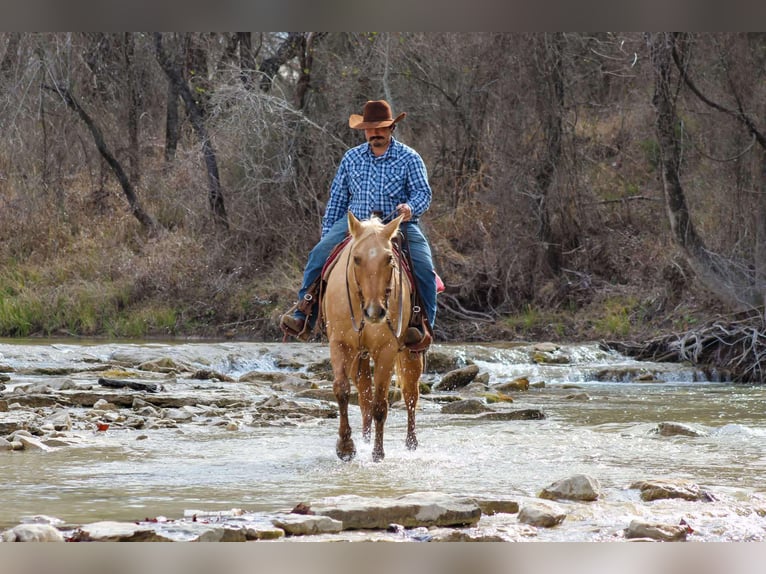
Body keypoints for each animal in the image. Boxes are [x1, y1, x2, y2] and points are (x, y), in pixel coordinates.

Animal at [322, 211, 424, 462]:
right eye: (356, 259)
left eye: (389, 259)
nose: (375, 312)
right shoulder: (339, 344)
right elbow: (342, 391)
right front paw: (346, 447)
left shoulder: (386, 349)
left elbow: (380, 404)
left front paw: (377, 453)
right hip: (359, 356)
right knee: (364, 396)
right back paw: (365, 439)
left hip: (411, 353)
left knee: (410, 394)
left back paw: (411, 443)